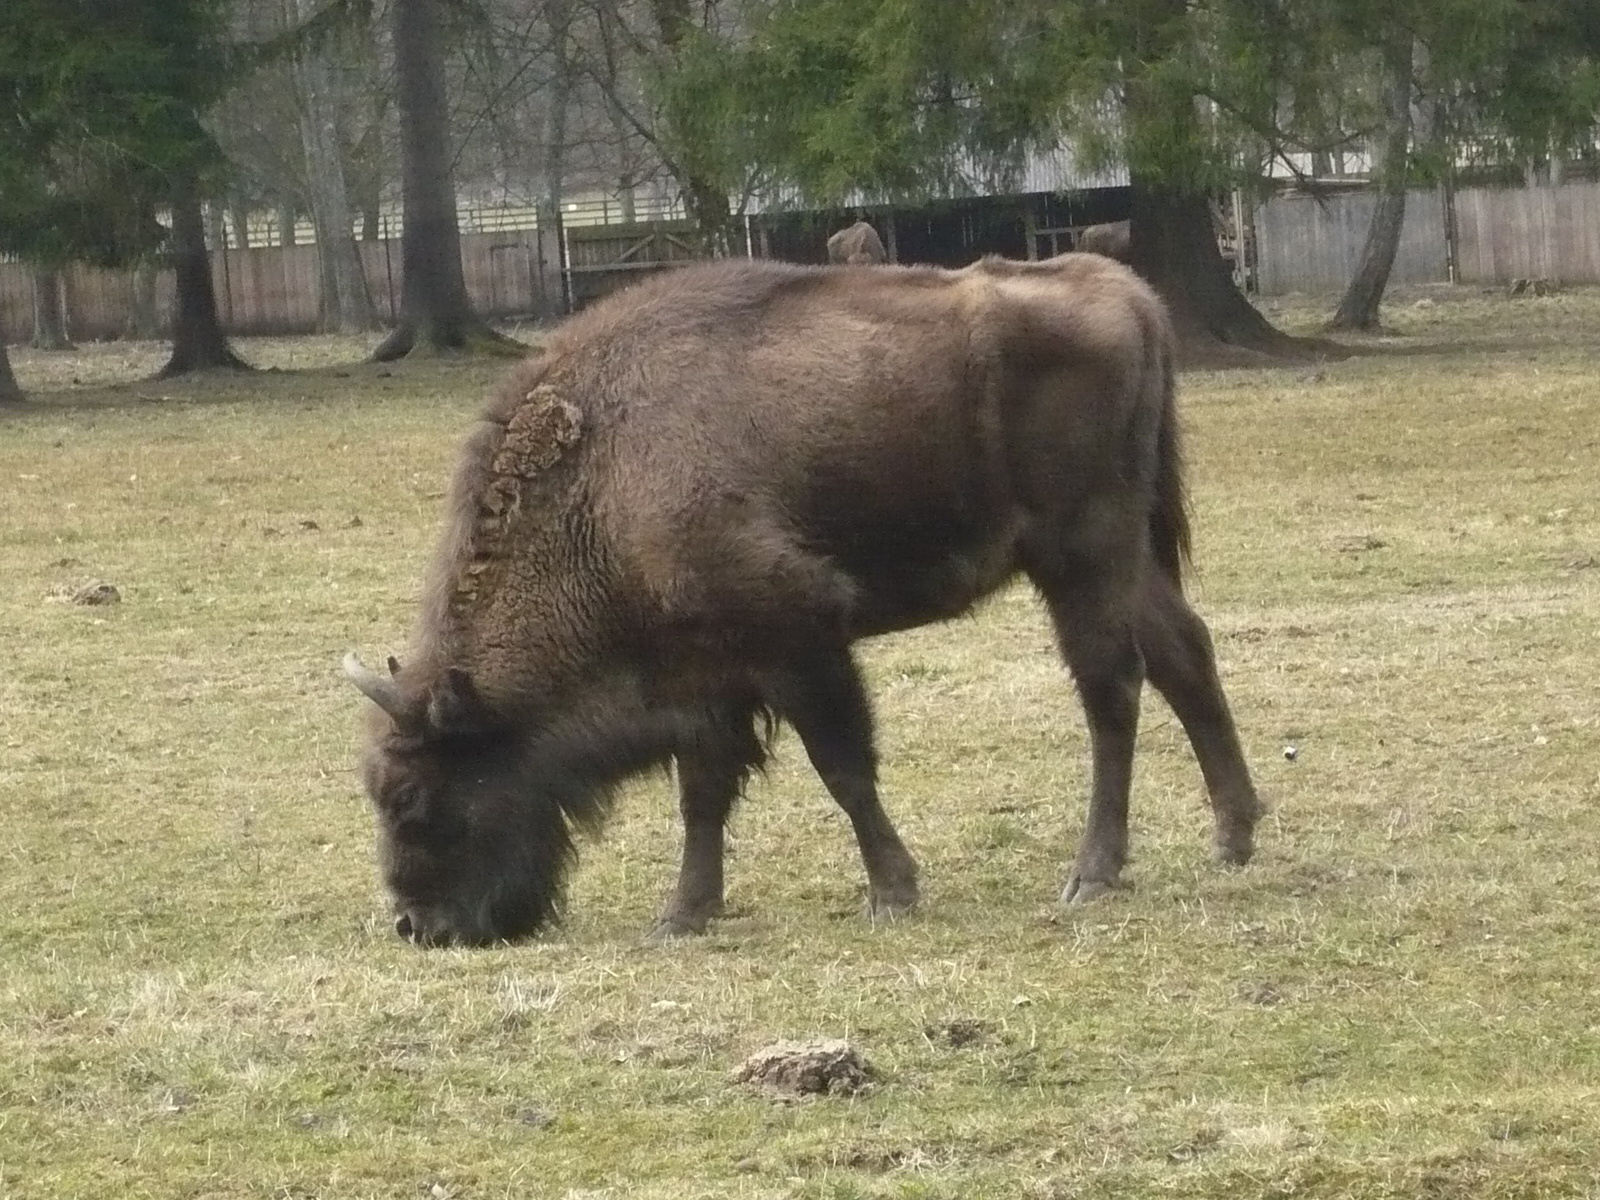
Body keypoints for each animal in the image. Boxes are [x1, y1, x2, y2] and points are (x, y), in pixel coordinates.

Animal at [347, 251, 1260, 947]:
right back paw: (1234, 837)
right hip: (1124, 556)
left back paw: (1092, 874)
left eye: (413, 796)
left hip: (1080, 553)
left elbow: (842, 766)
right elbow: (704, 793)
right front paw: (683, 914)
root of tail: (1124, 291)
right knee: (1184, 653)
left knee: (1112, 688)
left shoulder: (798, 637)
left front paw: (891, 893)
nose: (417, 927)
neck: (602, 485)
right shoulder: (705, 678)